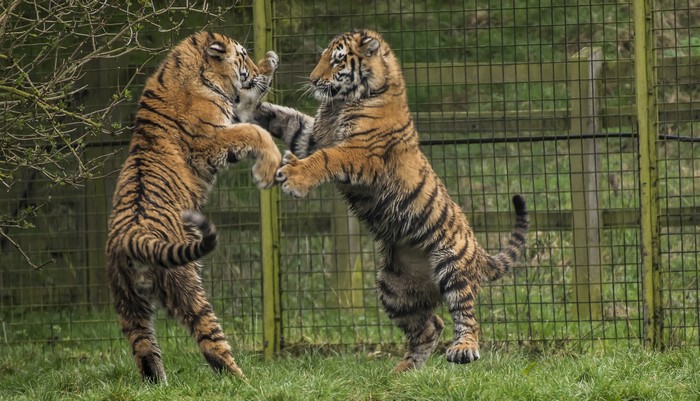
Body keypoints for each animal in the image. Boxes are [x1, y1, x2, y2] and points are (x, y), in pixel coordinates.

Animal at [106, 31, 281, 383]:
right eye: (243, 55)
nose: (255, 67)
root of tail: (132, 237)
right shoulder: (212, 140)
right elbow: (255, 129)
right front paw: (270, 164)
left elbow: (250, 103)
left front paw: (268, 63)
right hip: (187, 285)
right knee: (211, 343)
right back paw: (244, 381)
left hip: (128, 304)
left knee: (144, 351)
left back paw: (159, 385)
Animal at [245, 29, 530, 372]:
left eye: (337, 60)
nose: (313, 80)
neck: (343, 103)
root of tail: (479, 250)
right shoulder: (312, 136)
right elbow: (285, 118)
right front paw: (251, 102)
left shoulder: (357, 153)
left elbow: (325, 159)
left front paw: (293, 177)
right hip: (394, 287)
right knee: (430, 326)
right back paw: (403, 372)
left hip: (451, 263)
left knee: (466, 315)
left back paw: (463, 350)